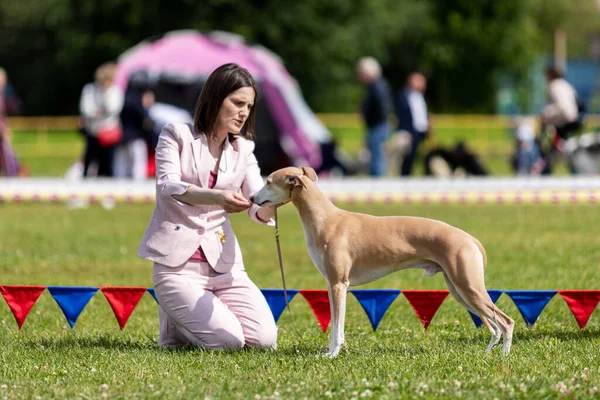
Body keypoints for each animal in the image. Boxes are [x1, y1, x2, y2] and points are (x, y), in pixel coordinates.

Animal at [251, 166, 512, 360]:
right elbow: (334, 324)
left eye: (268, 181)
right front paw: (329, 353)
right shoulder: (331, 285)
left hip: (468, 286)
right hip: (459, 289)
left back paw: (504, 356)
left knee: (505, 322)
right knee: (494, 325)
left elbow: (337, 328)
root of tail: (470, 239)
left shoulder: (338, 284)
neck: (325, 219)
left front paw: (333, 355)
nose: (252, 197)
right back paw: (488, 353)